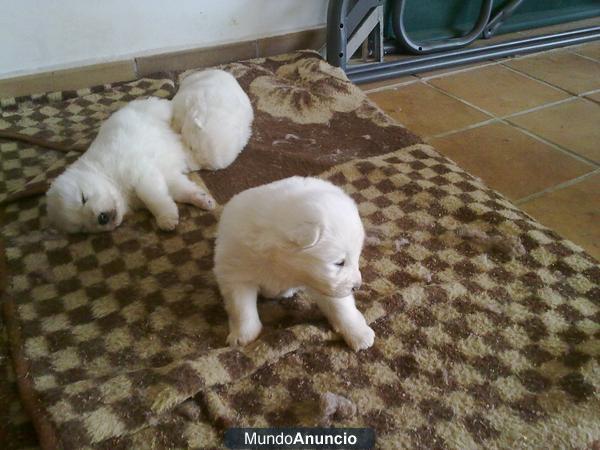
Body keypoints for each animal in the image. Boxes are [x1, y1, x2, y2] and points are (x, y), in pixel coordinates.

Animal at [47, 97, 216, 234]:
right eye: (82, 228)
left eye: (83, 198)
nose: (102, 219)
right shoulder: (164, 174)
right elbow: (179, 189)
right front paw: (202, 199)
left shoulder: (141, 173)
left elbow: (152, 198)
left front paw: (165, 218)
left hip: (157, 109)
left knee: (169, 108)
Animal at [212, 176, 376, 352]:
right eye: (339, 263)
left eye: (356, 258)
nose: (357, 286)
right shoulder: (235, 271)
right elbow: (241, 307)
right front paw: (243, 335)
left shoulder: (322, 281)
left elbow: (341, 306)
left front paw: (359, 333)